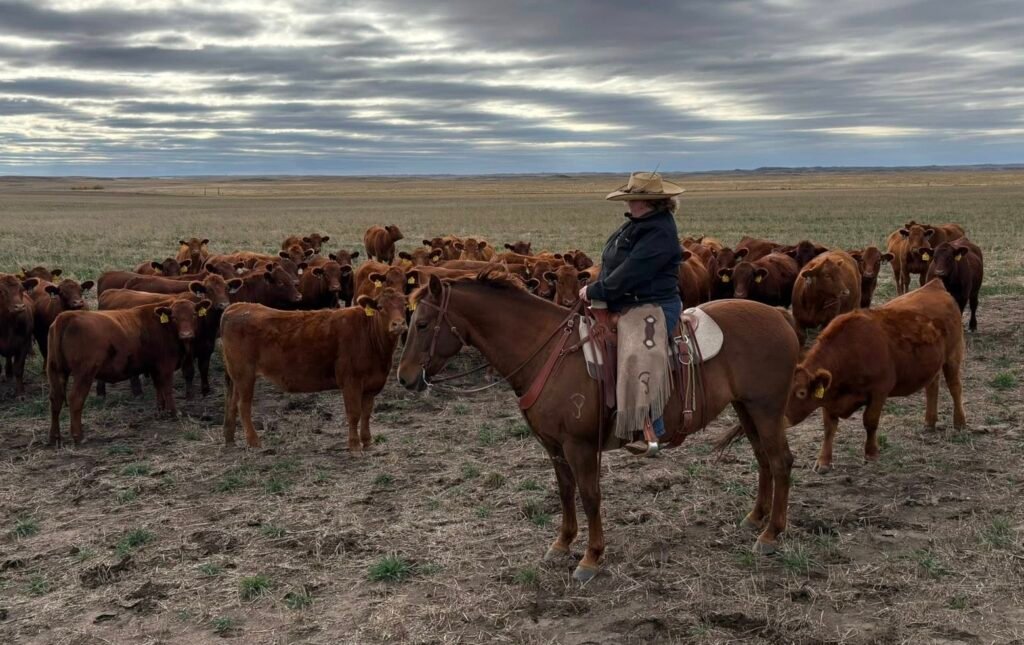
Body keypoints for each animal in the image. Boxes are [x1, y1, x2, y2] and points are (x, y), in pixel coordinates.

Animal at [46, 298, 208, 445]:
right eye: (174, 317)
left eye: (194, 314)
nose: (186, 334)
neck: (163, 326)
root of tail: (67, 316)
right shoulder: (165, 366)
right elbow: (167, 389)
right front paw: (173, 412)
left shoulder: (154, 367)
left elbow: (159, 388)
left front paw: (160, 410)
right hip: (84, 373)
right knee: (75, 399)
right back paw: (78, 436)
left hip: (55, 371)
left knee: (56, 400)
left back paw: (54, 437)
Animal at [220, 287, 409, 451]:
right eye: (381, 307)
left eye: (405, 306)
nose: (398, 324)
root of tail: (238, 306)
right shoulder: (351, 381)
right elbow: (354, 413)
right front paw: (355, 446)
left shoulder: (371, 384)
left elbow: (366, 413)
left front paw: (367, 442)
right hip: (245, 374)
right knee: (243, 405)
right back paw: (254, 441)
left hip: (237, 376)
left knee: (232, 402)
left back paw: (229, 439)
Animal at [397, 271, 800, 582]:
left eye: (422, 324)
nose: (404, 378)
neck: (548, 353)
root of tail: (779, 315)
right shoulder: (553, 445)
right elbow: (564, 492)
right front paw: (562, 544)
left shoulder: (580, 446)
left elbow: (590, 496)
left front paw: (591, 557)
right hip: (747, 409)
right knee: (763, 459)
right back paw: (755, 518)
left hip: (766, 409)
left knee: (781, 462)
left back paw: (771, 534)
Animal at [786, 279, 965, 473]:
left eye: (801, 393)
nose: (783, 419)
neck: (850, 352)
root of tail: (934, 285)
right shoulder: (829, 397)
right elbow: (829, 428)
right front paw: (824, 461)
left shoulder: (879, 391)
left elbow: (870, 421)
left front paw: (871, 453)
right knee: (932, 386)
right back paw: (930, 422)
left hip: (953, 356)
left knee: (955, 387)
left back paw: (960, 422)